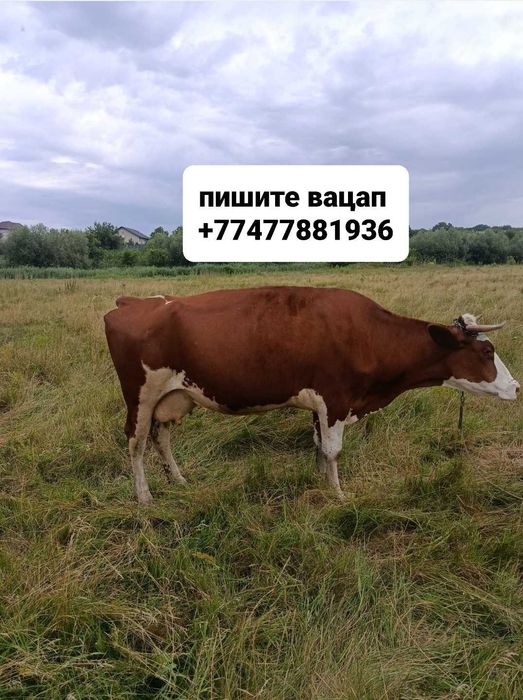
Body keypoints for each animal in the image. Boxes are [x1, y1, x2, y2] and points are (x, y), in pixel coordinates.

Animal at [104, 286, 519, 504]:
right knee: (136, 443)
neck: (368, 335)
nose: (516, 387)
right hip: (139, 396)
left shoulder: (320, 405)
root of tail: (134, 301)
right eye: (487, 351)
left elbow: (320, 446)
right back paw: (144, 496)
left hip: (172, 396)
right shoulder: (335, 399)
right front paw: (338, 495)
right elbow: (333, 450)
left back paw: (178, 480)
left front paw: (320, 483)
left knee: (161, 436)